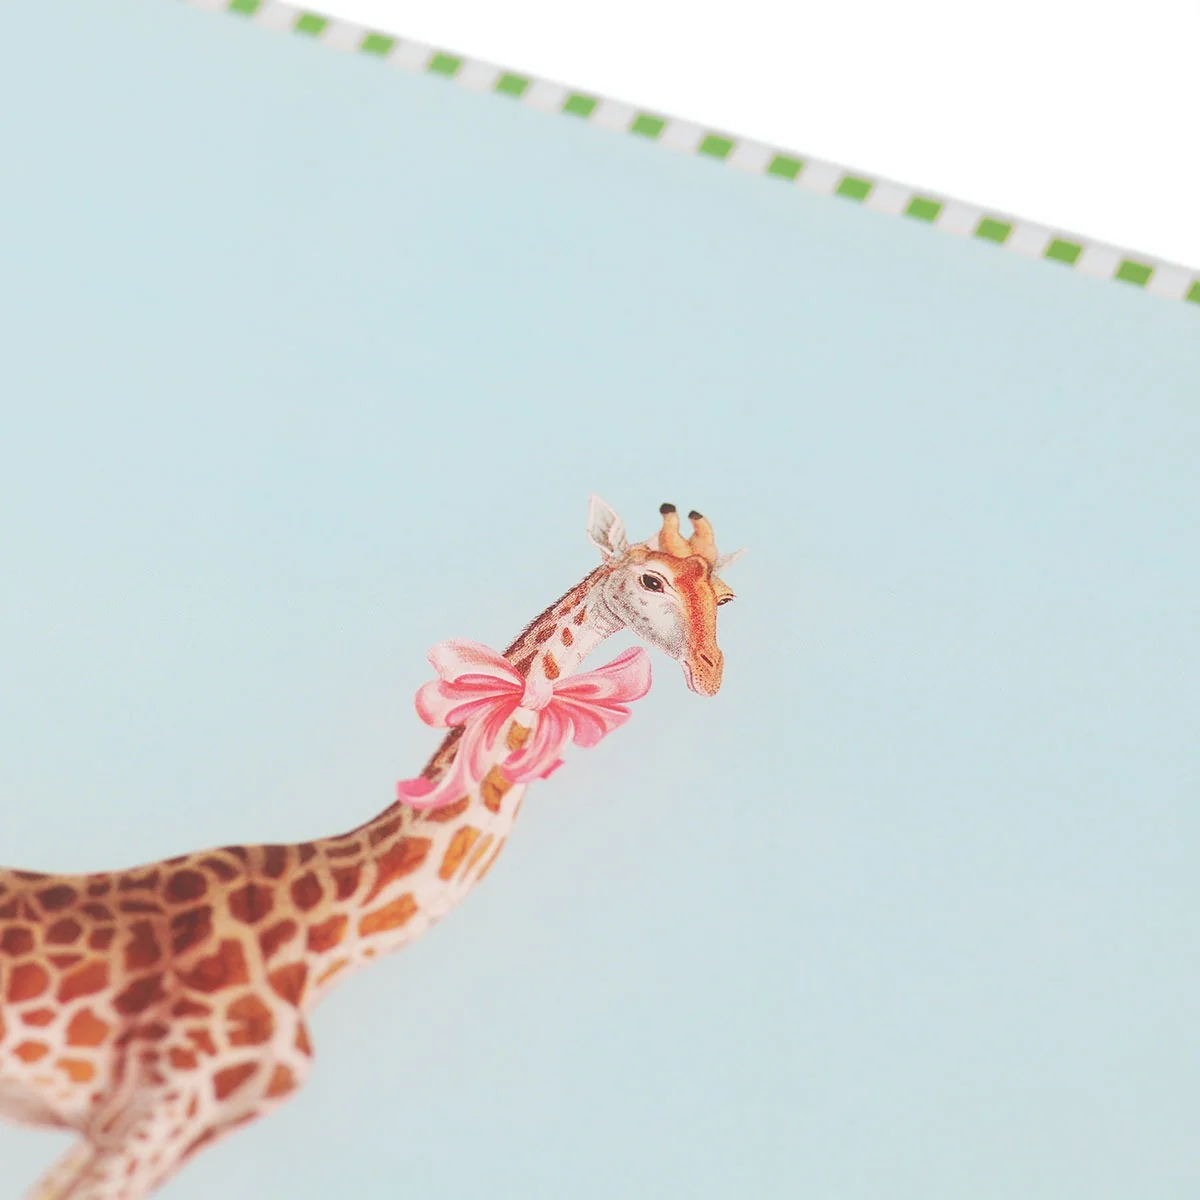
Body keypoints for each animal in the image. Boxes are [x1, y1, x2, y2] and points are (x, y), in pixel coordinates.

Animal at [0, 496, 743, 1200]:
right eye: (650, 579)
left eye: (725, 596)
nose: (709, 673)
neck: (324, 945)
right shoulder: (159, 1101)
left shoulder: (163, 1124)